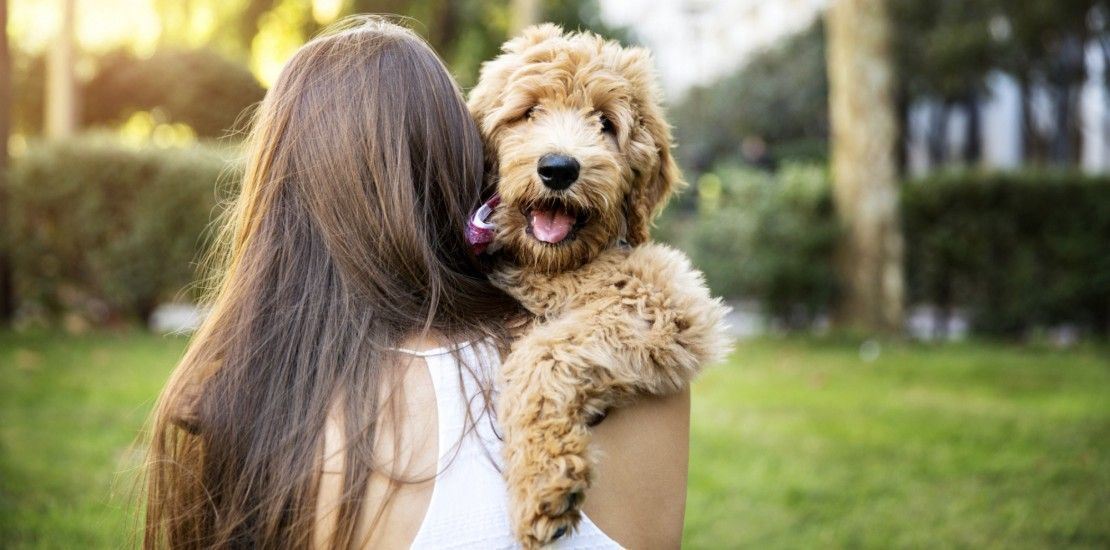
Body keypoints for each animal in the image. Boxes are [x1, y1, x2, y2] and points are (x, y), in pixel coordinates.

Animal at [466, 23, 732, 548]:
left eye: (606, 123)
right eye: (529, 112)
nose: (558, 168)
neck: (553, 265)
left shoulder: (668, 300)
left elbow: (543, 350)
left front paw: (542, 483)